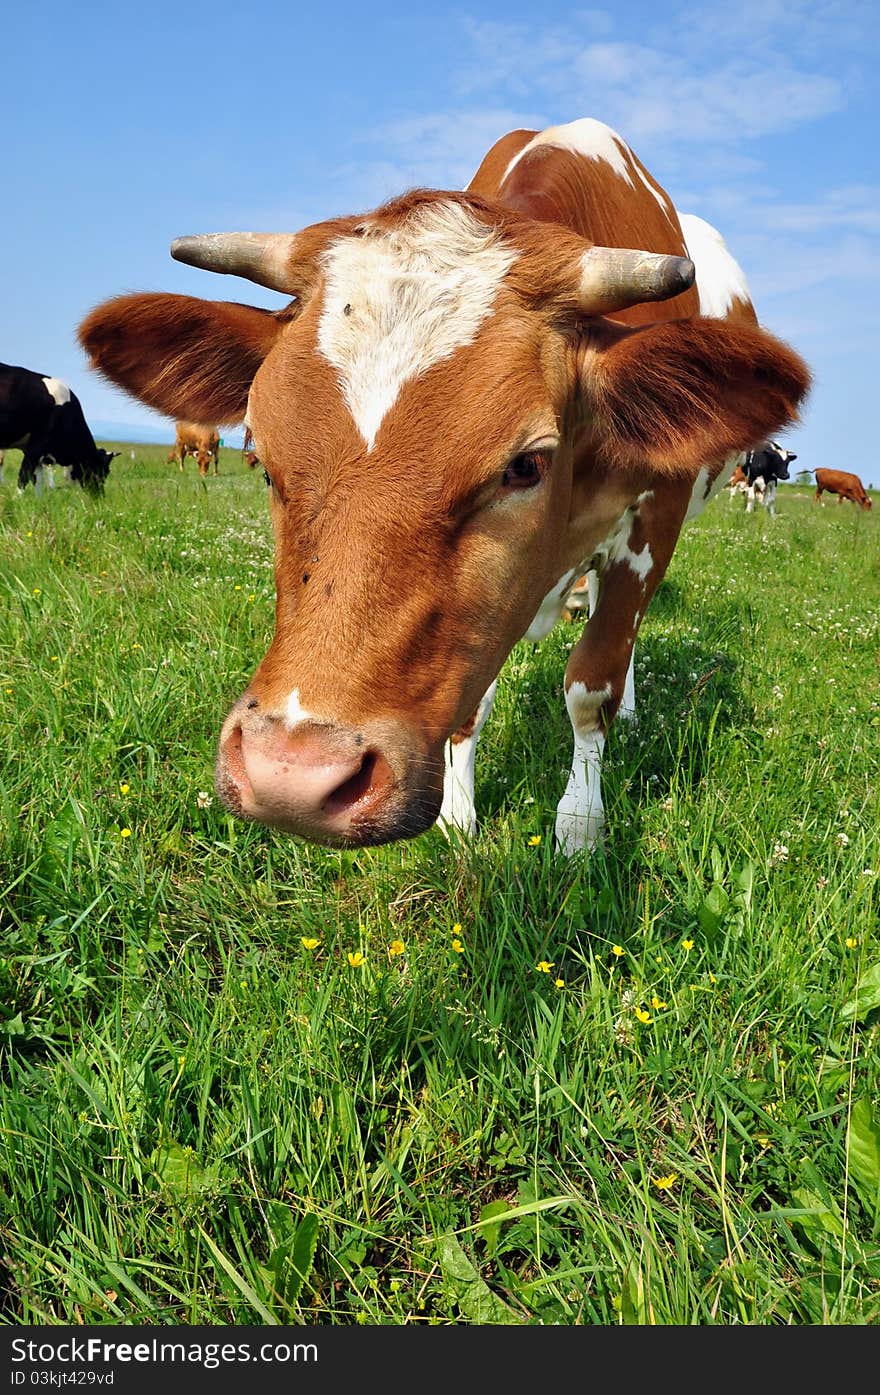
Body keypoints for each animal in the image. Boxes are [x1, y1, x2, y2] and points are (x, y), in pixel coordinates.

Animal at [0, 362, 117, 493]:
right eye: (101, 472)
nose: (100, 496)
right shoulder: (36, 445)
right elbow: (24, 477)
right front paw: (18, 497)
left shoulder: (37, 453)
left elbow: (38, 483)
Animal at [77, 117, 814, 848]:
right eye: (261, 456)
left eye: (526, 465)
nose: (291, 776)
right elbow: (473, 697)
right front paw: (459, 815)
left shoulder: (655, 516)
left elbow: (591, 684)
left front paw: (581, 823)